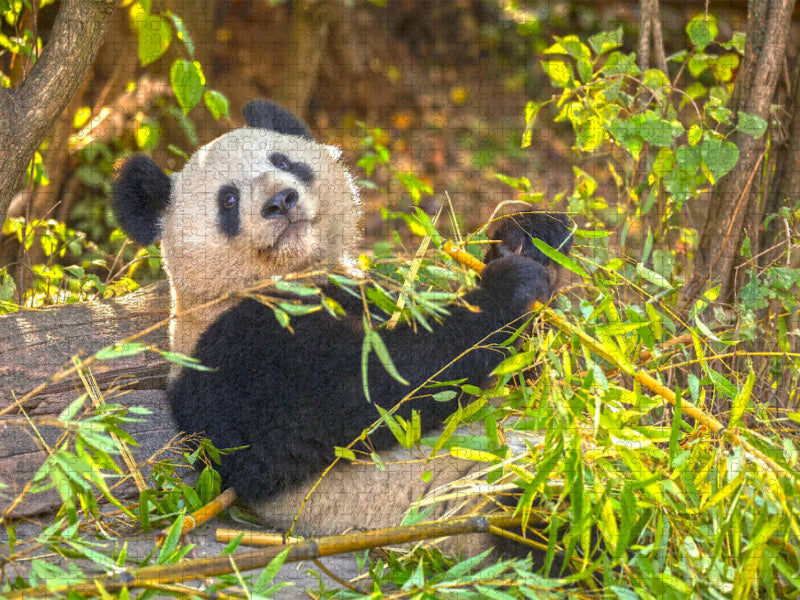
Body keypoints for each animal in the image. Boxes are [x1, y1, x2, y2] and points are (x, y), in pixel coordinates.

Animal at [112, 99, 573, 542]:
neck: (293, 278)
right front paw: (508, 286)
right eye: (227, 199)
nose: (281, 201)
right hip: (473, 499)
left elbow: (526, 379)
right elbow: (372, 393)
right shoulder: (234, 351)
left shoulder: (370, 290)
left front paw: (529, 235)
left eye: (284, 161)